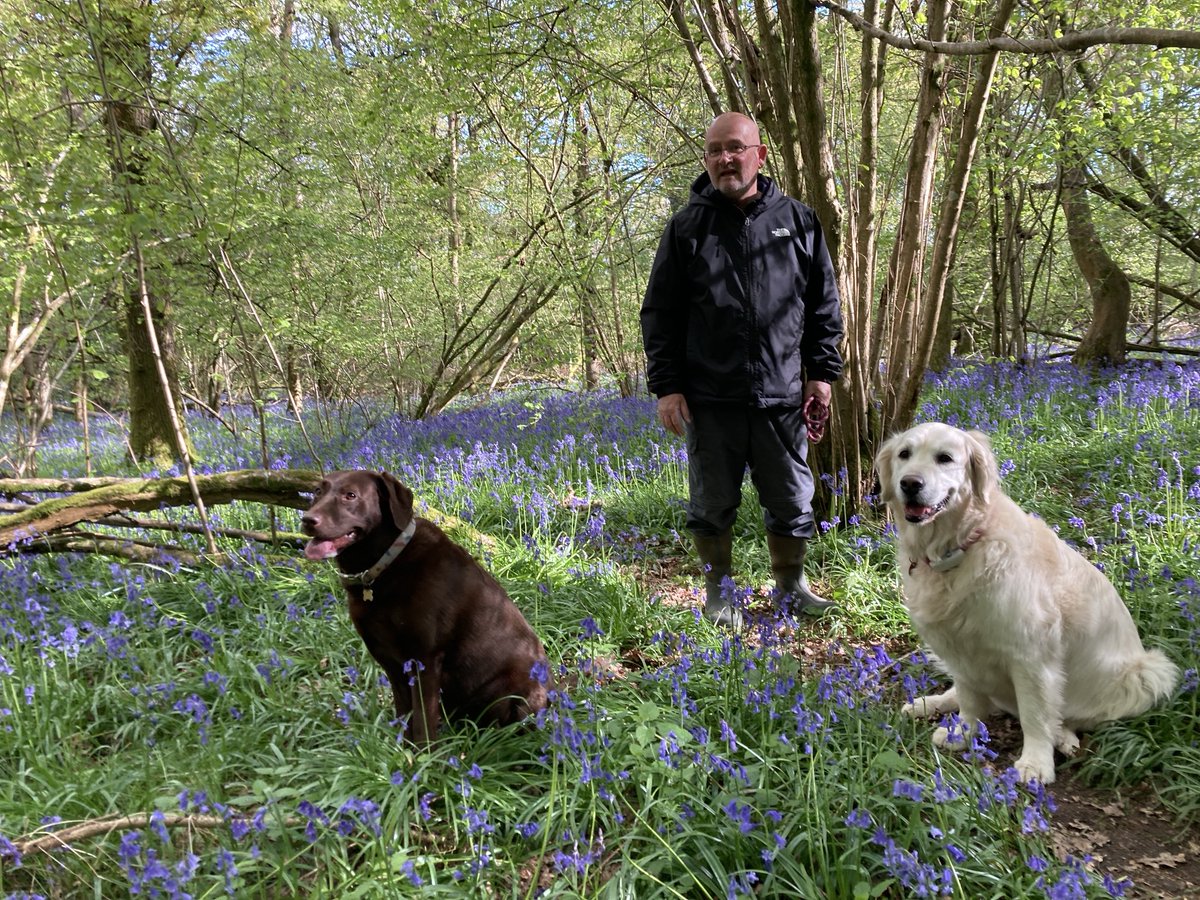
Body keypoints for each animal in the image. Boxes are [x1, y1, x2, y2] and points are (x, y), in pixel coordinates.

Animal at [300, 468, 549, 744]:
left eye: (350, 495)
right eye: (317, 492)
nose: (307, 520)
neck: (385, 565)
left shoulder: (425, 659)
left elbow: (422, 721)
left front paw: (424, 754)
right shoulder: (390, 661)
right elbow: (404, 714)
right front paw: (403, 748)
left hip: (516, 691)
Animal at [878, 422, 1176, 782]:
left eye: (945, 458)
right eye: (904, 454)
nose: (910, 483)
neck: (959, 548)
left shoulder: (1031, 654)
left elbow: (1035, 713)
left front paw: (1035, 763)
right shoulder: (958, 646)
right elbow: (968, 698)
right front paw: (961, 732)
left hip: (1147, 673)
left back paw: (1062, 735)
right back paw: (929, 704)